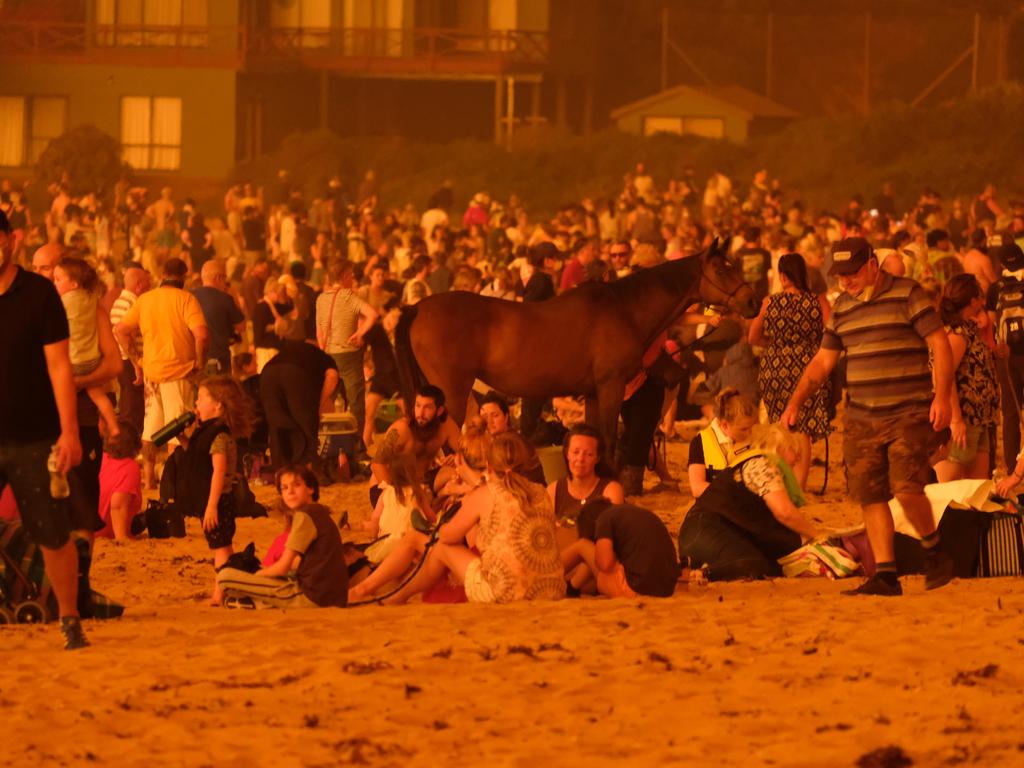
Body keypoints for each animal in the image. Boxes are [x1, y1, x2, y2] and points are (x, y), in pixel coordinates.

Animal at [395, 241, 757, 450]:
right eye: (722, 269)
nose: (752, 301)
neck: (623, 309)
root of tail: (417, 308)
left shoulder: (593, 393)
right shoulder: (611, 387)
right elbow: (608, 439)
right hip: (452, 393)